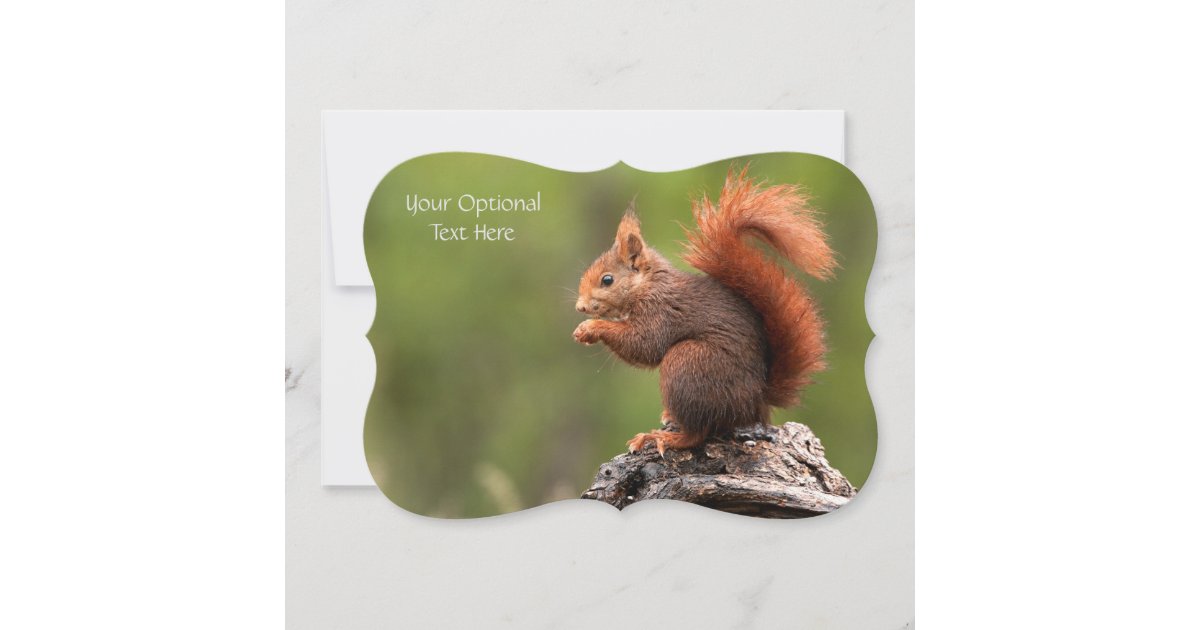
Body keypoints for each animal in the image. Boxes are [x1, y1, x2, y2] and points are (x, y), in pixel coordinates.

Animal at [572, 167, 836, 455]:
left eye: (607, 280)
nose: (580, 306)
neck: (647, 285)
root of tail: (757, 402)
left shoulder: (661, 311)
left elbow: (645, 344)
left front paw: (591, 328)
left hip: (688, 363)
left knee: (698, 433)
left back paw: (664, 438)